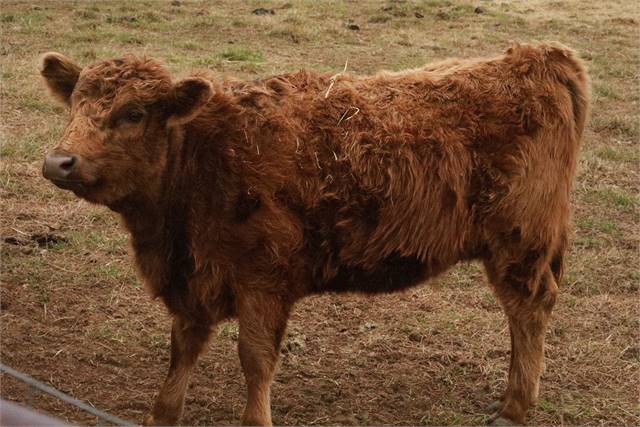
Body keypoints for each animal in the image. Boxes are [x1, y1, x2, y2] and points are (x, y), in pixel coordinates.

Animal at [40, 44, 592, 427]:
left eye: (133, 113)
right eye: (75, 105)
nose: (59, 161)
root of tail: (537, 56)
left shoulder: (263, 281)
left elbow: (255, 359)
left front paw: (254, 419)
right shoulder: (194, 280)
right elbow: (183, 348)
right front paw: (162, 413)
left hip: (520, 243)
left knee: (529, 310)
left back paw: (515, 406)